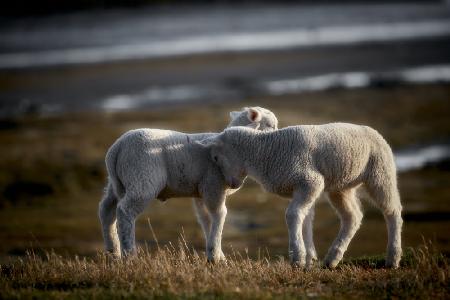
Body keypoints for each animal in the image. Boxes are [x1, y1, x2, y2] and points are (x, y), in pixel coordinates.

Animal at [98, 106, 278, 262]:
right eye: (271, 125)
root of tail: (117, 149)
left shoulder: (201, 191)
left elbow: (205, 219)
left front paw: (217, 255)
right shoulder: (213, 185)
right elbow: (219, 215)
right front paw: (215, 256)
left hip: (118, 182)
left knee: (106, 209)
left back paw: (113, 251)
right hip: (142, 179)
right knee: (125, 211)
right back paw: (130, 255)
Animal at [200, 123, 404, 268]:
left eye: (216, 157)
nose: (231, 185)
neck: (265, 152)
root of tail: (374, 131)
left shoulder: (310, 181)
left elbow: (292, 215)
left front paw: (297, 257)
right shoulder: (298, 188)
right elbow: (305, 219)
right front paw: (308, 257)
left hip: (380, 172)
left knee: (392, 212)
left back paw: (393, 258)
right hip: (341, 186)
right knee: (352, 216)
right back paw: (332, 258)